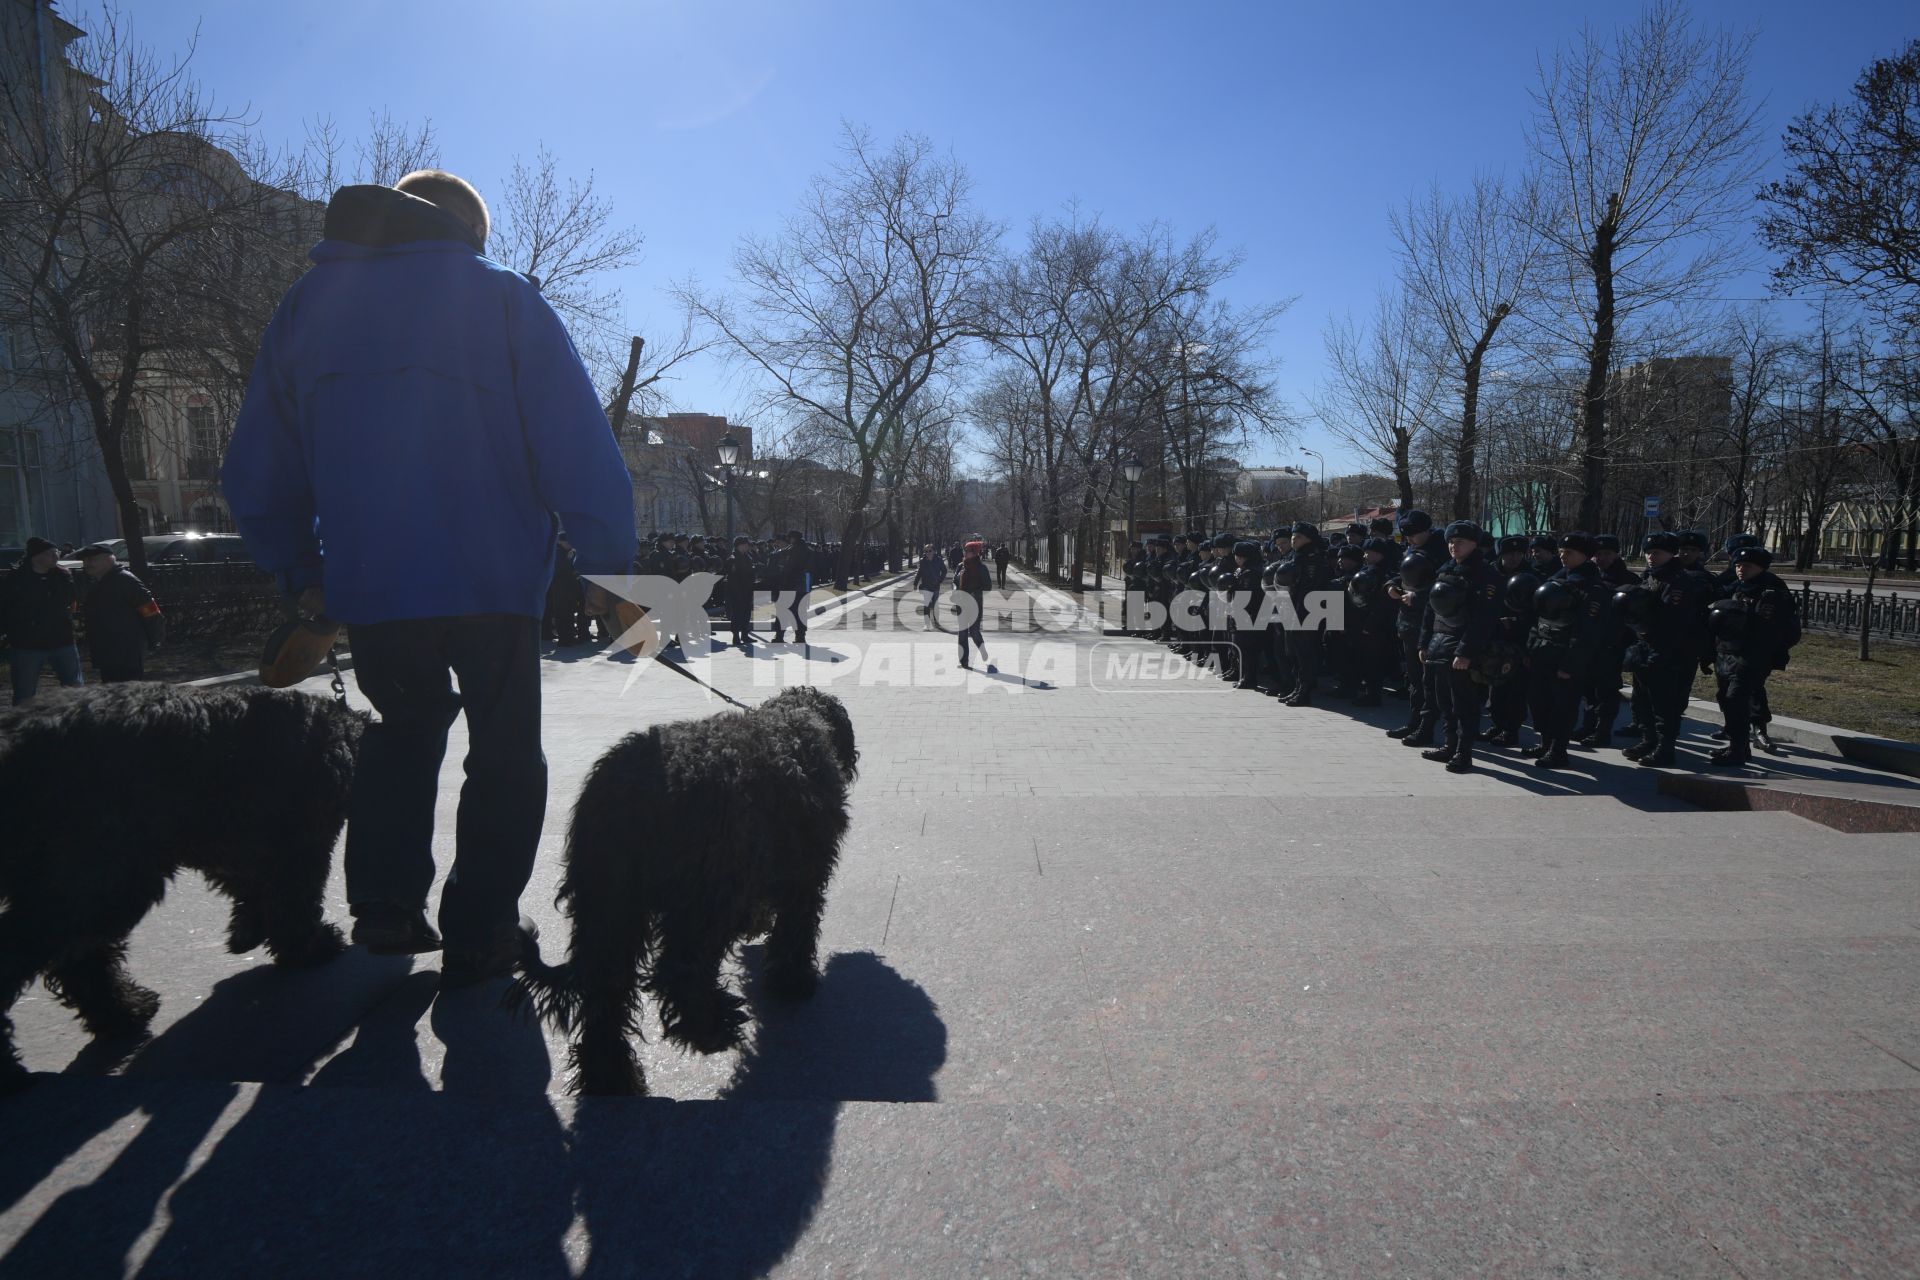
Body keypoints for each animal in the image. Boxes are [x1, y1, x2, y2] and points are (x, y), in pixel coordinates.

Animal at [0, 679, 360, 1090]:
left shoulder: (237, 845)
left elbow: (253, 890)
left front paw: (247, 931)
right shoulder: (301, 843)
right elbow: (294, 900)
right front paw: (310, 947)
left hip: (92, 880)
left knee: (80, 957)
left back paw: (123, 1013)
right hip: (100, 877)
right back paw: (13, 1068)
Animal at [518, 687, 864, 1097]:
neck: (794, 719)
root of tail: (625, 787)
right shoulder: (805, 871)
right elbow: (796, 928)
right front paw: (793, 980)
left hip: (610, 905)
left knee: (606, 992)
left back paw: (609, 1075)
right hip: (706, 893)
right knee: (679, 969)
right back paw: (711, 1027)